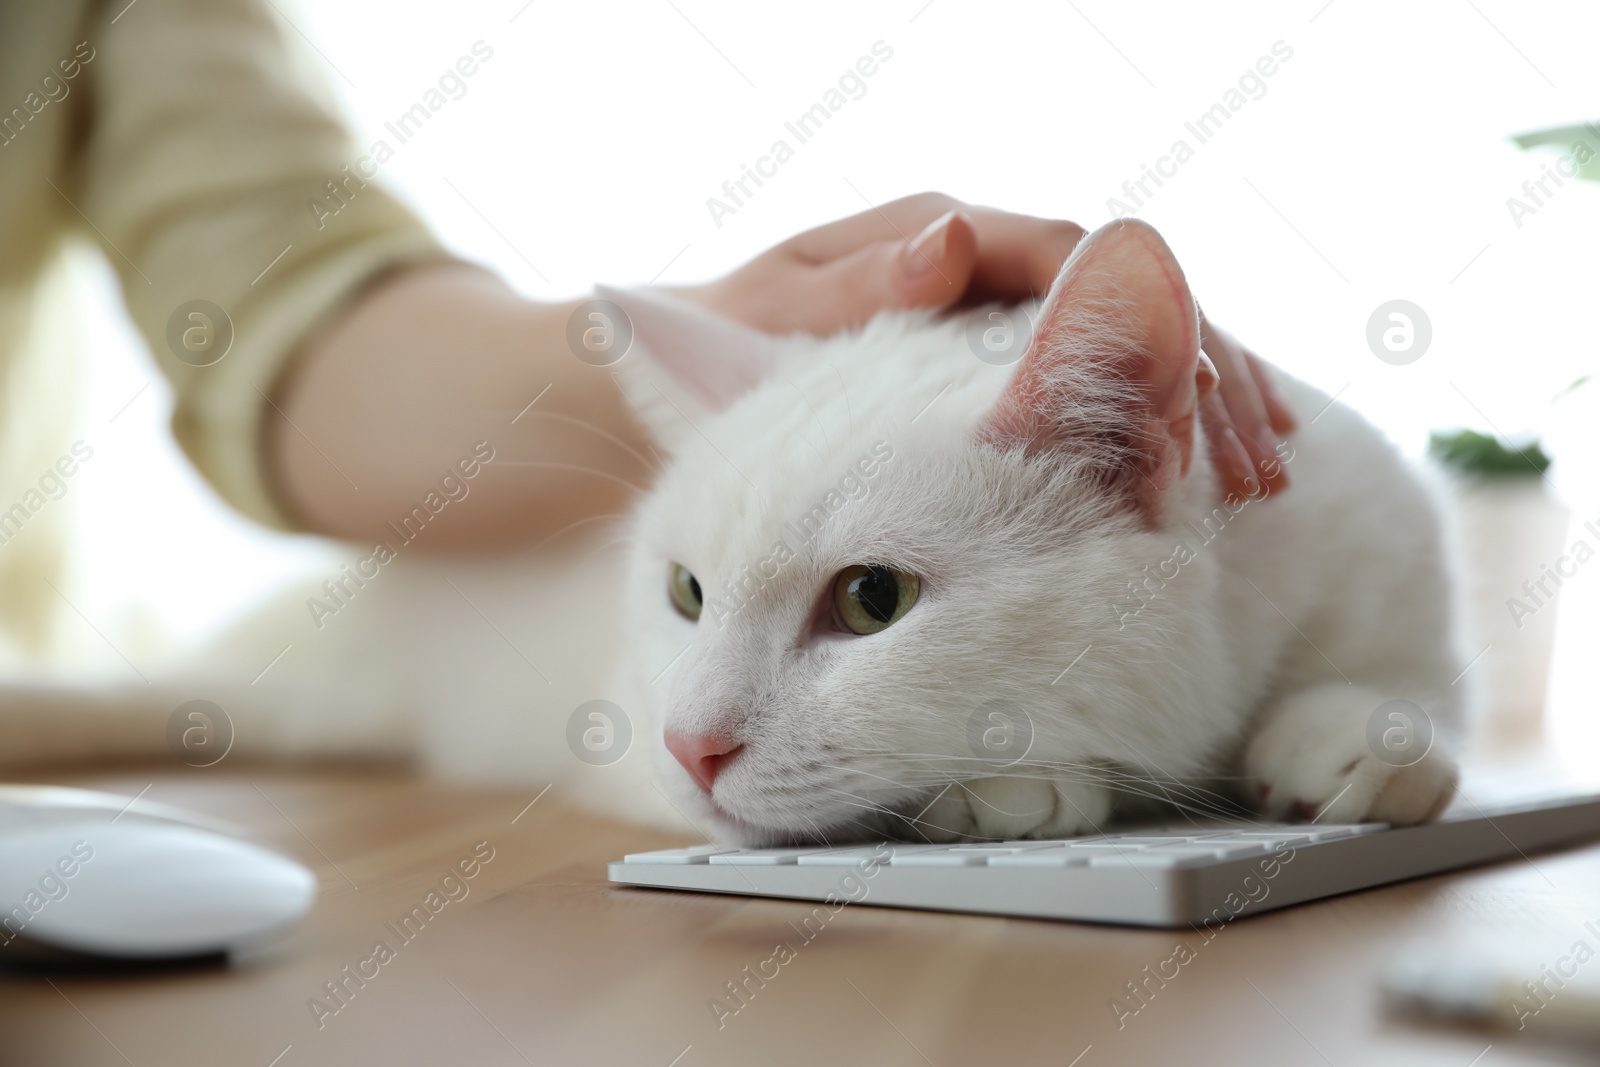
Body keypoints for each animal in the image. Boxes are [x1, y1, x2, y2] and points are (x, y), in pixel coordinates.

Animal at [601, 220, 1465, 844]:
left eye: (873, 597)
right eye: (687, 592)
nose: (687, 746)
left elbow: (1409, 687)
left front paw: (1353, 732)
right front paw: (1014, 788)